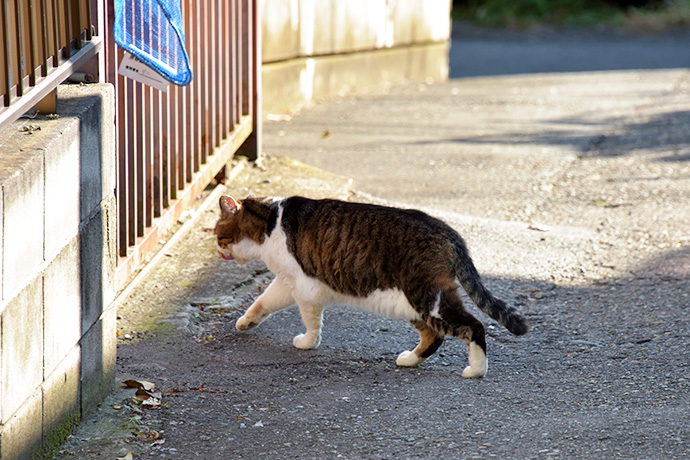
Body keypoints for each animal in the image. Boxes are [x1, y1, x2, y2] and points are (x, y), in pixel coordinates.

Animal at [215, 194, 528, 378]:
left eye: (217, 233)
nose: (217, 249)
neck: (271, 222)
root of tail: (448, 231)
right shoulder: (286, 282)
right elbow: (262, 302)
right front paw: (245, 322)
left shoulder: (304, 287)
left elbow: (311, 320)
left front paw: (307, 342)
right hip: (411, 303)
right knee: (434, 336)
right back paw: (409, 360)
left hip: (428, 298)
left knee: (474, 326)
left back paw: (476, 370)